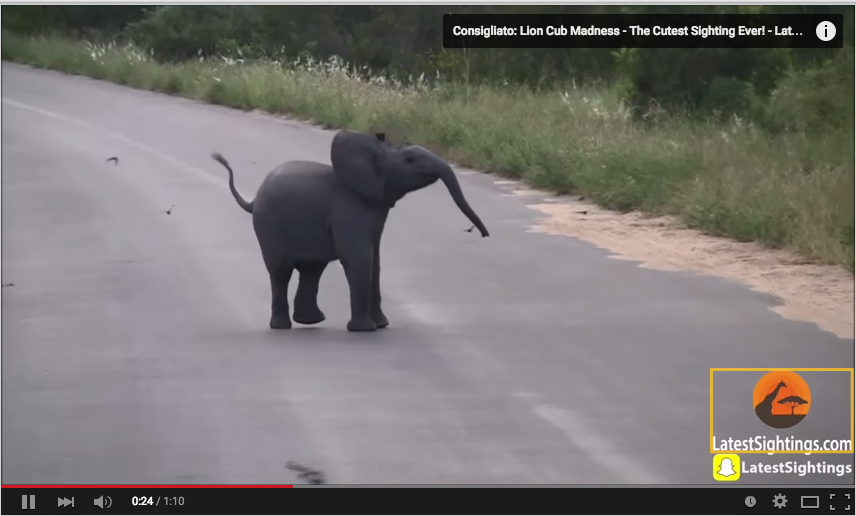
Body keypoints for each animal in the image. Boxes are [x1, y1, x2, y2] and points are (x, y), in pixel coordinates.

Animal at [212, 131, 488, 332]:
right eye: (409, 160)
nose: (482, 233)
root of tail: (253, 201)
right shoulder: (349, 209)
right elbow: (358, 258)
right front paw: (365, 330)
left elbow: (375, 261)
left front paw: (381, 325)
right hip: (269, 226)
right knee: (280, 272)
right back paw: (282, 327)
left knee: (312, 270)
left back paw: (310, 322)